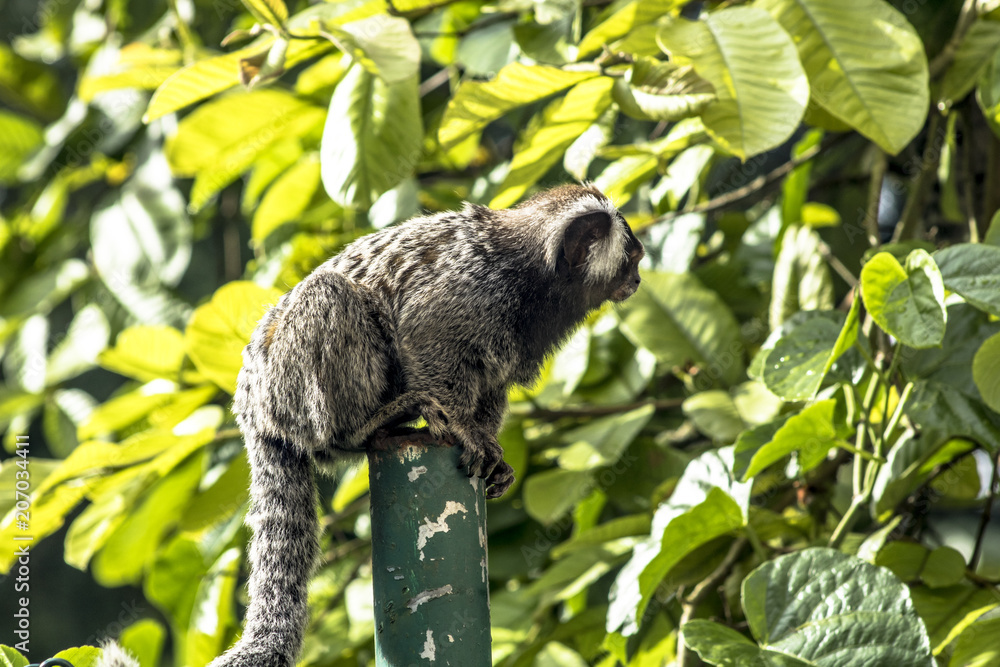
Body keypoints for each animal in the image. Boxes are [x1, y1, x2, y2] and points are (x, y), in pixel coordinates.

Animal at [205, 184, 644, 667]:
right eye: (632, 257)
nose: (639, 279)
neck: (529, 277)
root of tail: (251, 406)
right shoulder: (464, 290)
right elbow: (425, 339)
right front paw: (465, 433)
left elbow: (491, 388)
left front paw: (489, 447)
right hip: (291, 383)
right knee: (330, 297)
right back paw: (367, 425)